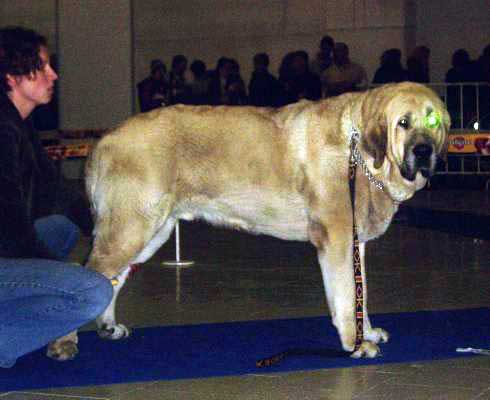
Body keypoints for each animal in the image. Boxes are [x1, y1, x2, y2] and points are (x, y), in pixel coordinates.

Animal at [48, 81, 448, 360]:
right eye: (403, 123)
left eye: (433, 123)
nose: (423, 151)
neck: (360, 149)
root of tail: (103, 141)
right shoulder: (335, 239)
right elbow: (348, 298)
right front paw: (355, 343)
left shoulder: (354, 243)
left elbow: (361, 295)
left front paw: (368, 332)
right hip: (131, 227)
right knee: (90, 272)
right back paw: (63, 342)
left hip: (151, 232)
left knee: (111, 279)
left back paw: (108, 327)